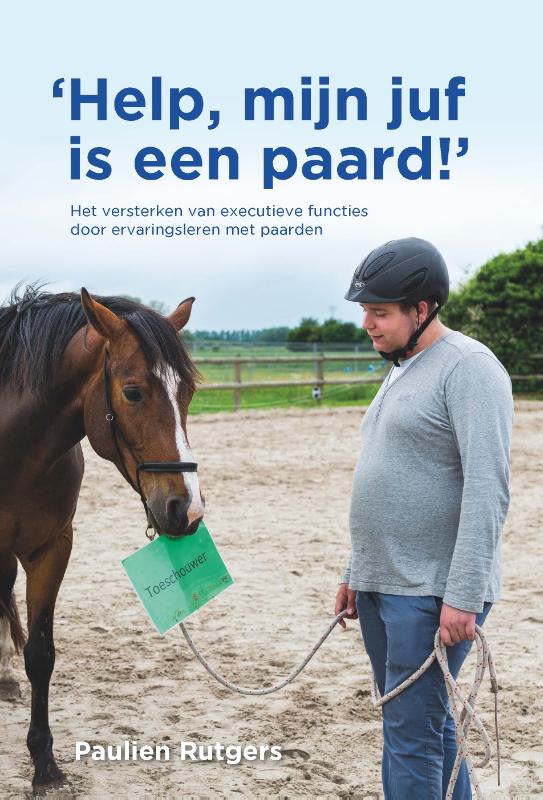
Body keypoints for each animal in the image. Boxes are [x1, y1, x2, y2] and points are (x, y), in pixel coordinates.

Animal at [0, 285, 204, 787]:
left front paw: (45, 763)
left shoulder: (51, 549)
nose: (187, 509)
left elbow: (41, 654)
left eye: (188, 392)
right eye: (132, 392)